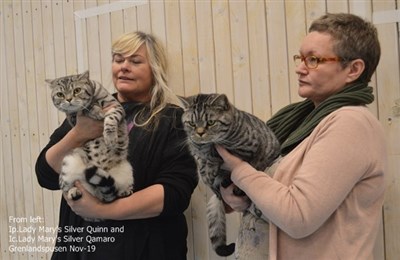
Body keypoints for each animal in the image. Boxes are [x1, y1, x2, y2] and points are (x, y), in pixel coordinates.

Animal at [46, 70, 134, 220]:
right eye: (60, 94)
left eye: (77, 90)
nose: (68, 99)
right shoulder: (73, 118)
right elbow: (86, 109)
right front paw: (95, 111)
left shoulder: (116, 106)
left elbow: (110, 119)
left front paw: (110, 136)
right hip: (69, 163)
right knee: (66, 188)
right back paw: (74, 192)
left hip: (127, 170)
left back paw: (125, 191)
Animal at [181, 93, 278, 256]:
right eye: (192, 124)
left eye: (211, 122)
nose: (200, 133)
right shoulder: (195, 151)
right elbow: (201, 164)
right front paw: (206, 172)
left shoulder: (247, 146)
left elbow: (216, 150)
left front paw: (211, 165)